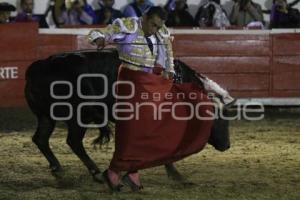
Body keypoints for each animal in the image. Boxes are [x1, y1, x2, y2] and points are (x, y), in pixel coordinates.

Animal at [24, 49, 230, 184]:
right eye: (217, 119)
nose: (226, 145)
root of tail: (38, 67)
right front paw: (176, 175)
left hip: (46, 117)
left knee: (40, 138)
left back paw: (57, 168)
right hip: (79, 116)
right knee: (73, 141)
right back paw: (96, 172)